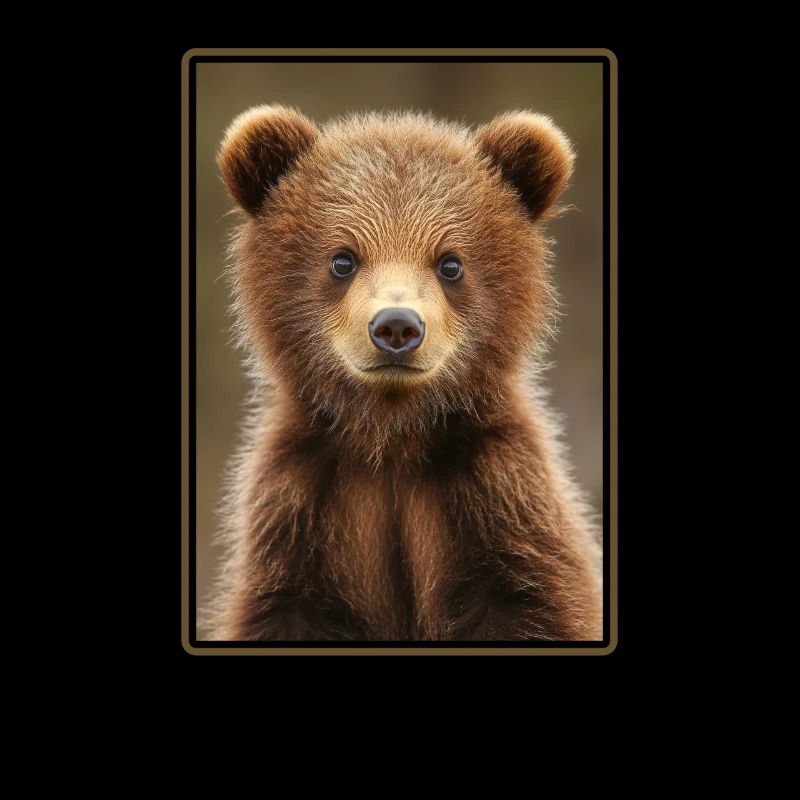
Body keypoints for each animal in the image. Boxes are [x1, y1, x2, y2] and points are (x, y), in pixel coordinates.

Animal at [208, 105, 602, 641]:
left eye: (450, 263)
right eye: (343, 258)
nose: (396, 326)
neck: (392, 437)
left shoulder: (501, 498)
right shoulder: (298, 510)